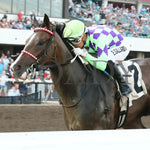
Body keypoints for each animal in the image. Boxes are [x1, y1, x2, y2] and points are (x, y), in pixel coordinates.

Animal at [10, 14, 150, 129]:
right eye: (26, 41)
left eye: (40, 42)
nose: (15, 67)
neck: (81, 90)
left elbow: (103, 61)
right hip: (133, 121)